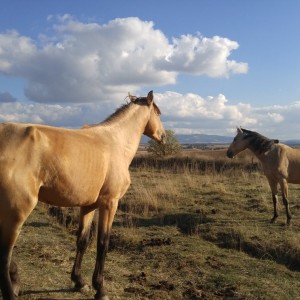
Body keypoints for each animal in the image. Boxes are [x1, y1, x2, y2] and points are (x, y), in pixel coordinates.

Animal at [0, 91, 165, 300]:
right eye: (158, 113)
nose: (164, 137)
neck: (116, 142)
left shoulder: (88, 206)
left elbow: (82, 241)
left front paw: (79, 281)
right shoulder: (110, 203)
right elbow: (103, 243)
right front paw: (100, 289)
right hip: (18, 210)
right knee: (4, 254)